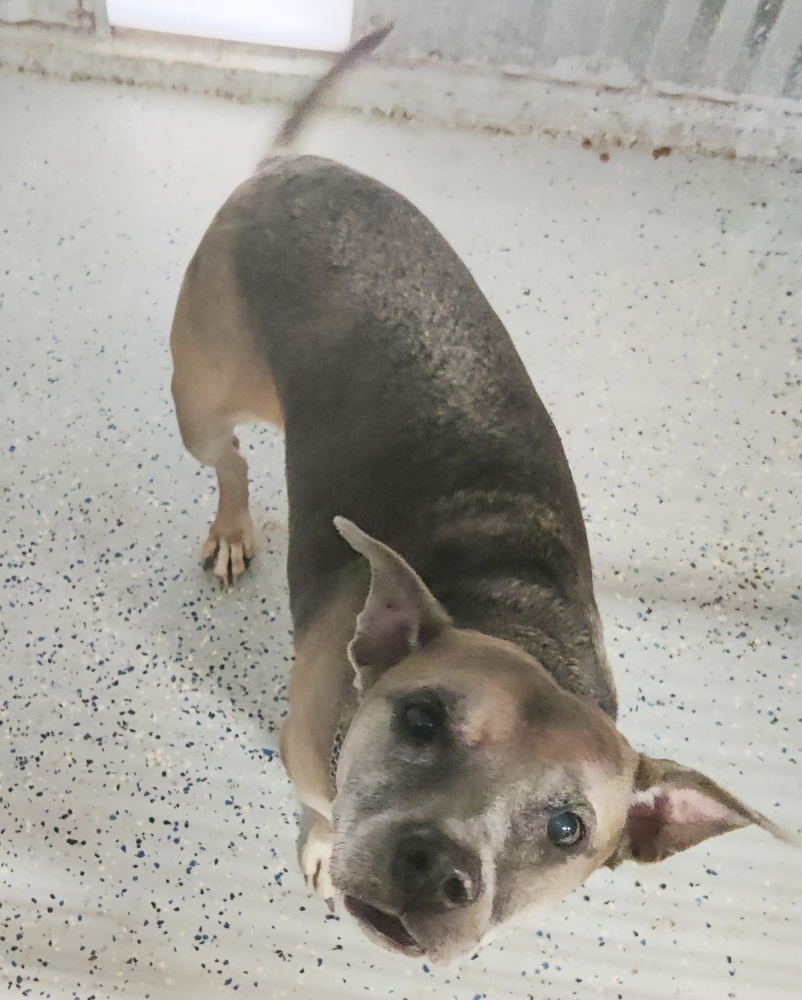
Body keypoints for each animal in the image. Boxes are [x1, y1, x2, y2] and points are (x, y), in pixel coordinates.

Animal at [170, 27, 788, 968]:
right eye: (421, 720)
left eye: (569, 829)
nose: (436, 868)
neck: (517, 624)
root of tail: (294, 165)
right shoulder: (304, 755)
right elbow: (319, 807)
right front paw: (319, 844)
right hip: (199, 399)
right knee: (231, 458)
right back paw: (234, 526)